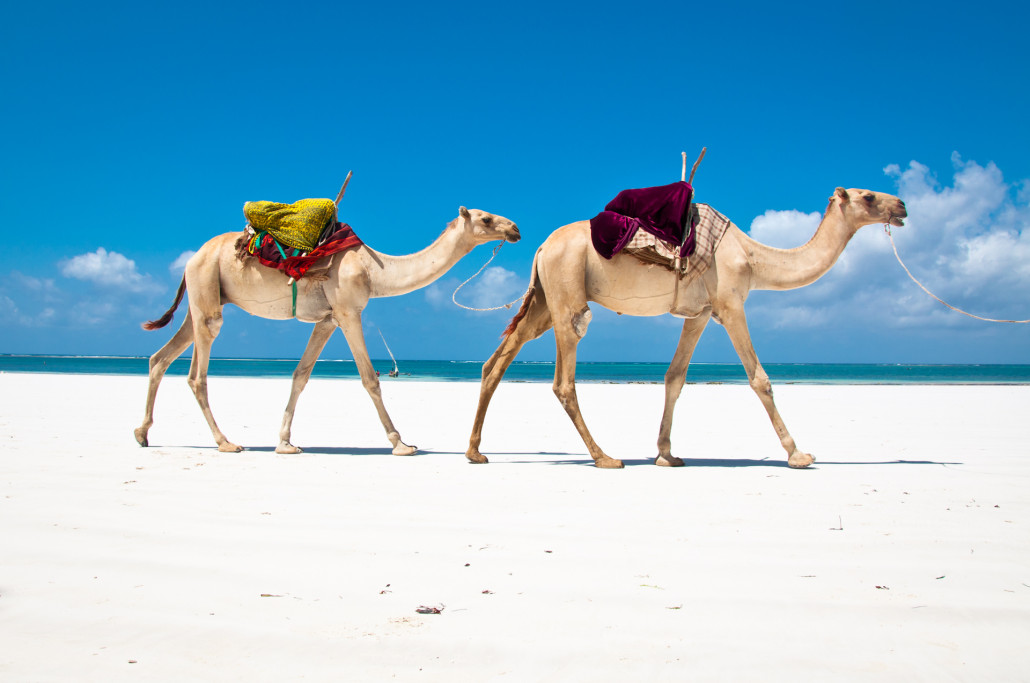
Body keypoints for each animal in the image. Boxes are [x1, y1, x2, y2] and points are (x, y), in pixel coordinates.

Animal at [136, 206, 520, 454]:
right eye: (486, 218)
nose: (515, 228)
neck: (374, 270)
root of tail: (192, 257)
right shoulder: (349, 312)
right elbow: (369, 378)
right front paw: (401, 443)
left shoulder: (328, 319)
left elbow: (301, 375)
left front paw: (285, 443)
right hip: (206, 292)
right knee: (197, 373)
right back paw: (226, 442)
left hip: (203, 298)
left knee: (160, 358)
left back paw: (142, 433)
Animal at [466, 187, 907, 468]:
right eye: (867, 195)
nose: (901, 205)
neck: (751, 256)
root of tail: (541, 246)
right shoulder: (731, 304)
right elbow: (759, 378)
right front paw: (798, 454)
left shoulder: (699, 314)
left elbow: (675, 377)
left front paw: (667, 454)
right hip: (567, 295)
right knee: (563, 380)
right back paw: (605, 457)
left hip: (544, 301)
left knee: (498, 360)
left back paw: (475, 452)